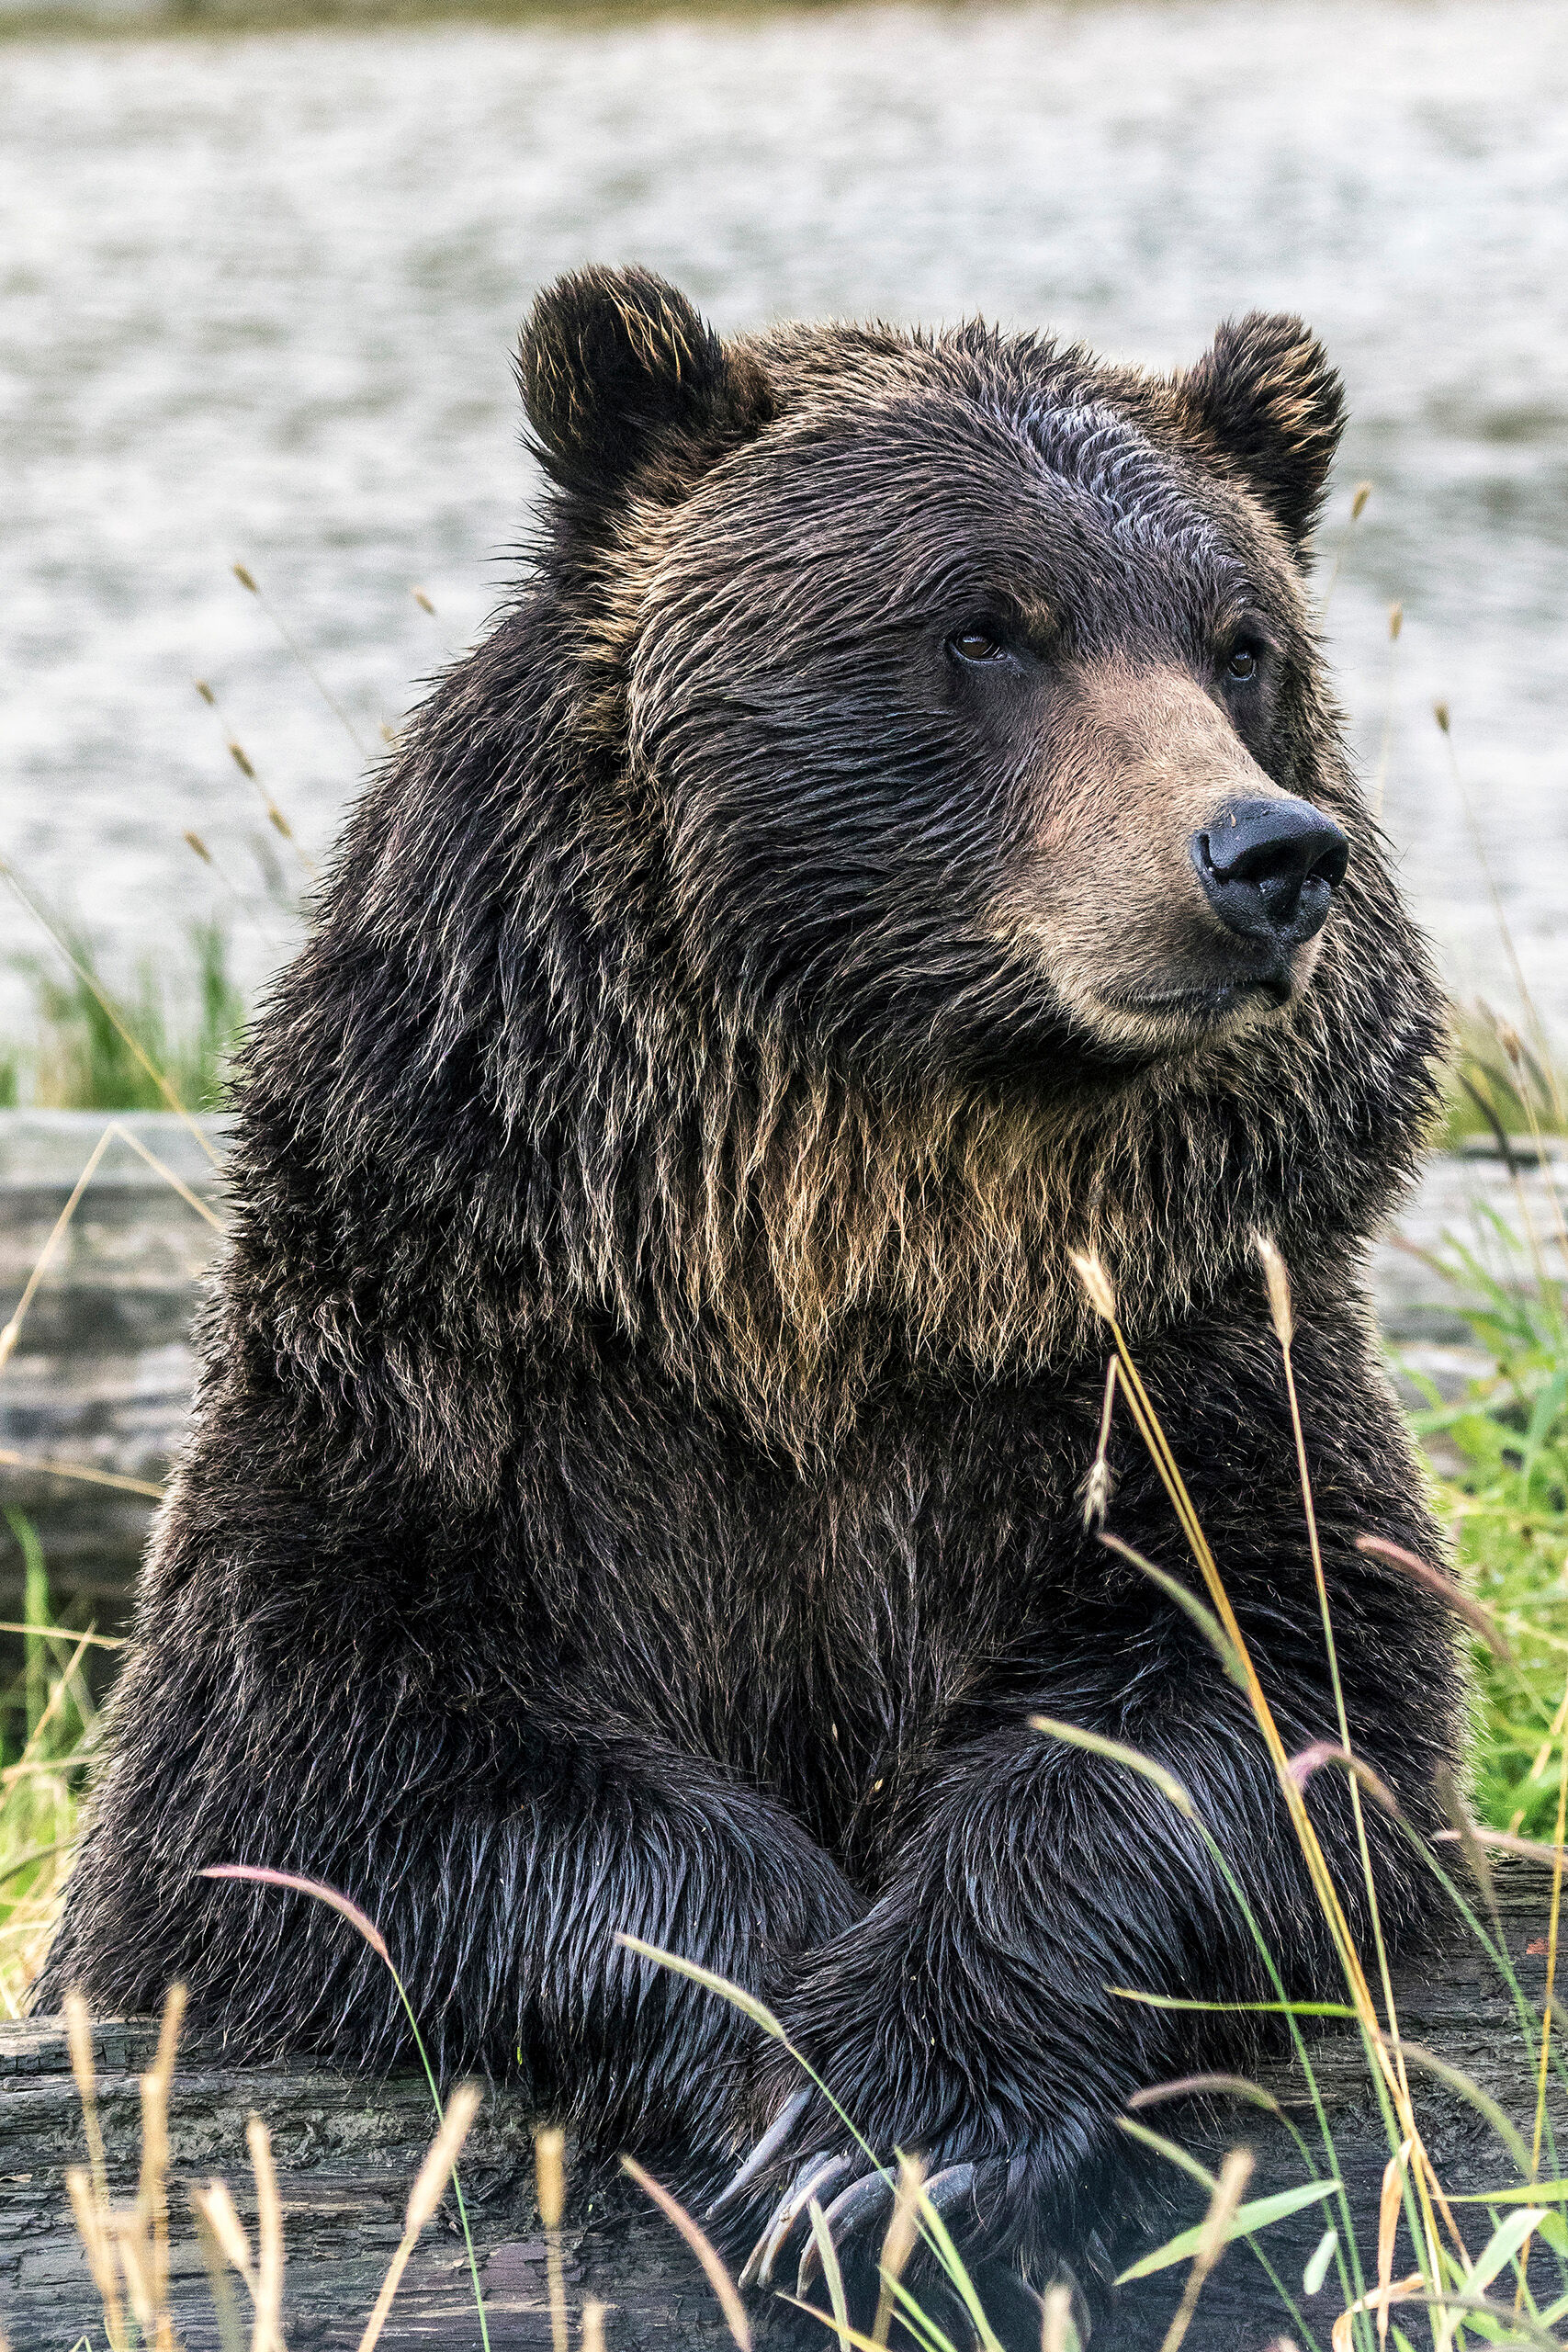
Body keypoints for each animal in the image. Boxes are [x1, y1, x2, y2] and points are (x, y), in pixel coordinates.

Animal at [42, 269, 1460, 2341]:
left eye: (1242, 642)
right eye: (982, 625)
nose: (1264, 853)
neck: (823, 1263)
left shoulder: (1165, 1357)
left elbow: (1261, 1694)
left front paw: (912, 2119)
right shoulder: (449, 1377)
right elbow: (329, 1775)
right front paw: (797, 2084)